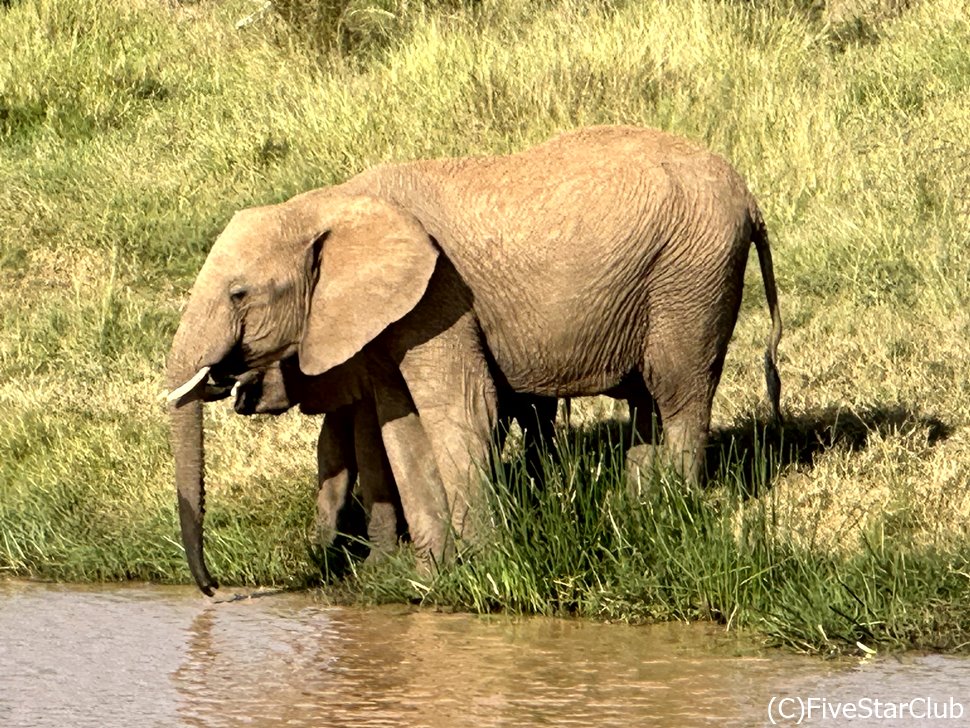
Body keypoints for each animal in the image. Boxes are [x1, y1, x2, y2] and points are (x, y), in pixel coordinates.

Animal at [170, 125, 784, 596]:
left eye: (239, 294)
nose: (213, 590)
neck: (328, 203)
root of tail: (751, 199)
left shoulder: (440, 299)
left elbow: (461, 413)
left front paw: (486, 573)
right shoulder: (392, 321)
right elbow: (401, 430)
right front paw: (427, 579)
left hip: (693, 277)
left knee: (679, 395)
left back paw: (670, 518)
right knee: (647, 405)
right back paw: (636, 517)